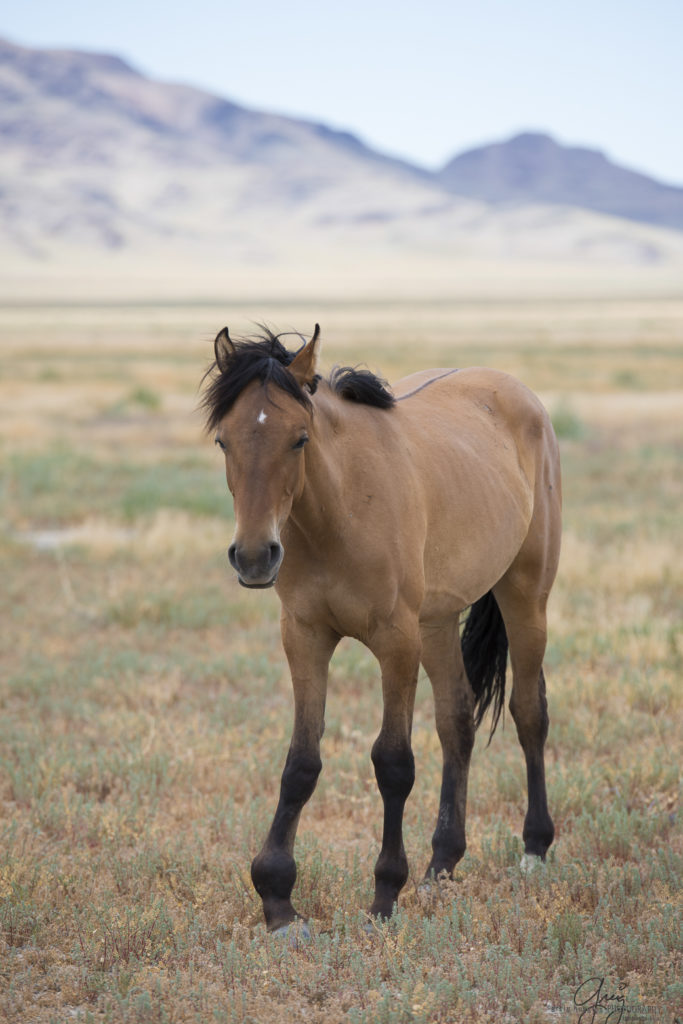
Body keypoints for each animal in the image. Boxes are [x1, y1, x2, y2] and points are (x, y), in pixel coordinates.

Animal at [201, 325, 561, 937]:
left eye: (299, 440)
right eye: (225, 441)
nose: (253, 557)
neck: (339, 509)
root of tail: (520, 393)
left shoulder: (396, 642)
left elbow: (393, 763)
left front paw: (384, 896)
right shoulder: (305, 637)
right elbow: (301, 763)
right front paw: (278, 900)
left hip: (524, 596)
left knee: (528, 712)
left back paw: (534, 850)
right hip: (437, 621)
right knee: (456, 722)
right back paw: (441, 865)